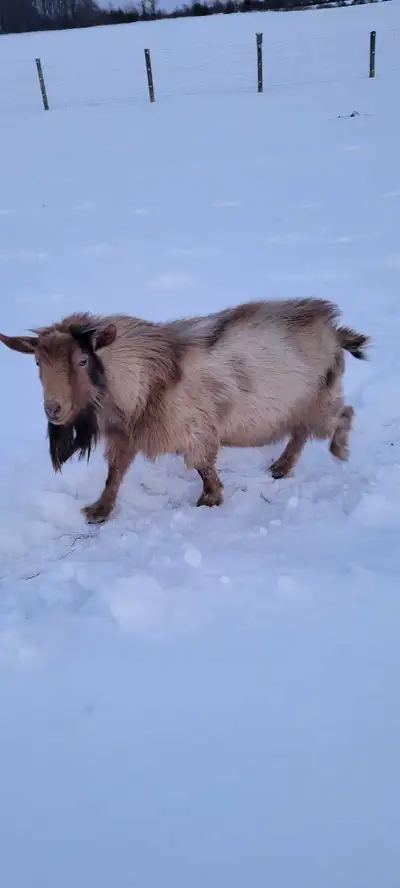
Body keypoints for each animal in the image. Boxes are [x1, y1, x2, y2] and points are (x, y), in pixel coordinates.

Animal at [0, 298, 369, 523]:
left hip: (320, 397)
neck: (149, 378)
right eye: (37, 362)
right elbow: (114, 474)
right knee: (301, 432)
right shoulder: (126, 436)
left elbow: (204, 467)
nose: (53, 409)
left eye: (81, 360)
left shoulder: (195, 431)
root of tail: (334, 332)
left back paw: (339, 450)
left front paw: (210, 499)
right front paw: (99, 510)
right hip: (304, 404)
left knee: (343, 414)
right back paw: (281, 467)